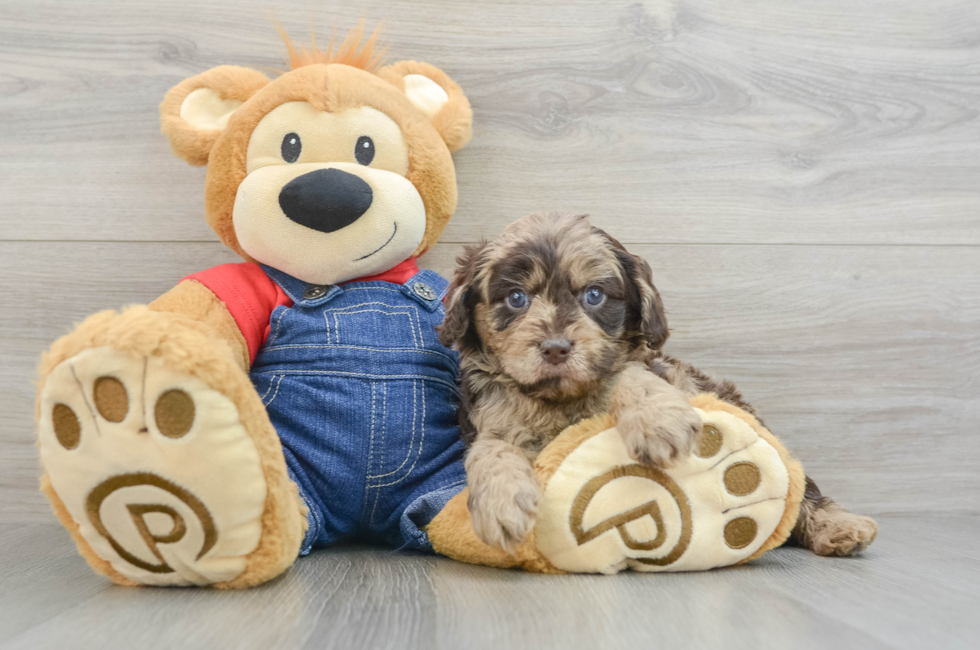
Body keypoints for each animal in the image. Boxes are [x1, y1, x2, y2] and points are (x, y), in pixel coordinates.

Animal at [440, 210, 876, 556]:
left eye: (594, 295)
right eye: (516, 298)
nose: (555, 348)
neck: (559, 399)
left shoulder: (652, 369)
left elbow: (630, 372)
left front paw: (656, 422)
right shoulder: (490, 420)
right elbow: (491, 450)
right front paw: (501, 505)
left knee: (800, 485)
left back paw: (838, 525)